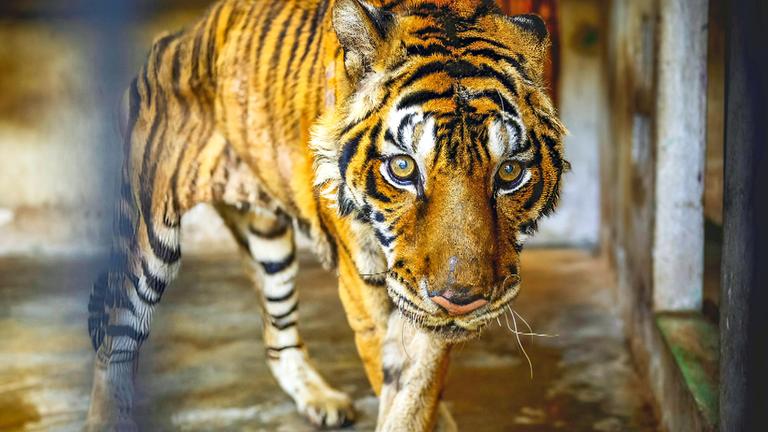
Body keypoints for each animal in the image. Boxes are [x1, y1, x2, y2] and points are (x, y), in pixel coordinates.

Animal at [85, 0, 566, 430]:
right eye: (403, 167)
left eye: (509, 172)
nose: (460, 300)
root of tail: (175, 36)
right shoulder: (372, 288)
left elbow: (416, 392)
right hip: (149, 235)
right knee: (116, 341)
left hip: (267, 244)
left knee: (277, 335)